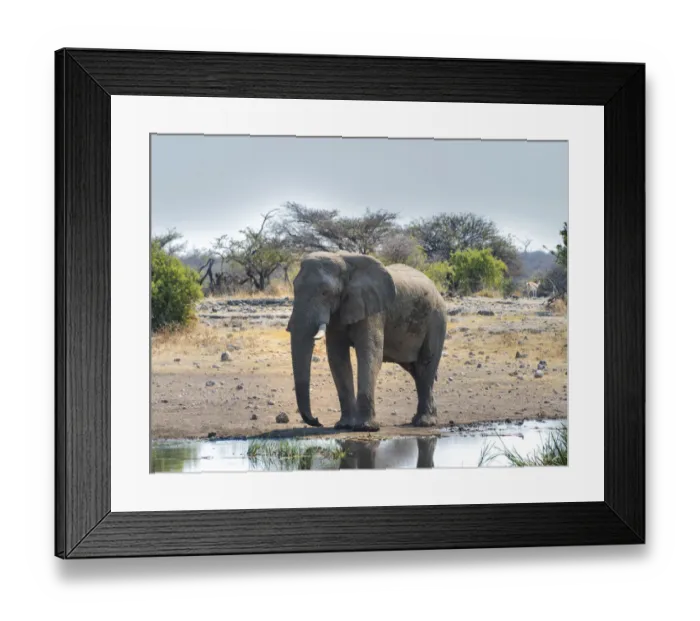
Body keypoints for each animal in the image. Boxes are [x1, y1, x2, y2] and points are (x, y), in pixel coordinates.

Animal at [286, 251, 448, 432]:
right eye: (294, 288)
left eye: (325, 292)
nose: (317, 420)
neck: (344, 262)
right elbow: (337, 358)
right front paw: (344, 425)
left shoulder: (373, 310)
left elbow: (370, 353)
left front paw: (366, 427)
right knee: (416, 370)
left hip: (437, 319)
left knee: (425, 365)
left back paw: (424, 422)